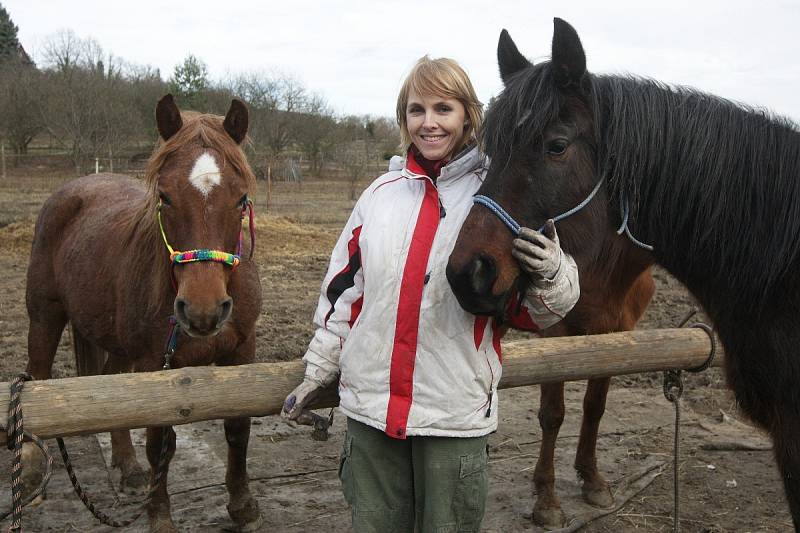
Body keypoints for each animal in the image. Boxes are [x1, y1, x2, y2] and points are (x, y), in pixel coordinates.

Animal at [25, 95, 260, 532]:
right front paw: (160, 516)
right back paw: (33, 471)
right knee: (38, 378)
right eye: (164, 197)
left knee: (111, 388)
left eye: (240, 199)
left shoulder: (242, 350)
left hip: (118, 344)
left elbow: (238, 427)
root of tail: (73, 189)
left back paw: (129, 467)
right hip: (45, 316)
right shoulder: (154, 363)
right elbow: (159, 442)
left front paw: (242, 505)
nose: (202, 310)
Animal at [446, 18, 800, 528]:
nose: (467, 271)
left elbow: (595, 407)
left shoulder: (618, 333)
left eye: (556, 146)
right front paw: (547, 498)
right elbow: (553, 413)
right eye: (489, 151)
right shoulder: (557, 336)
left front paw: (591, 480)